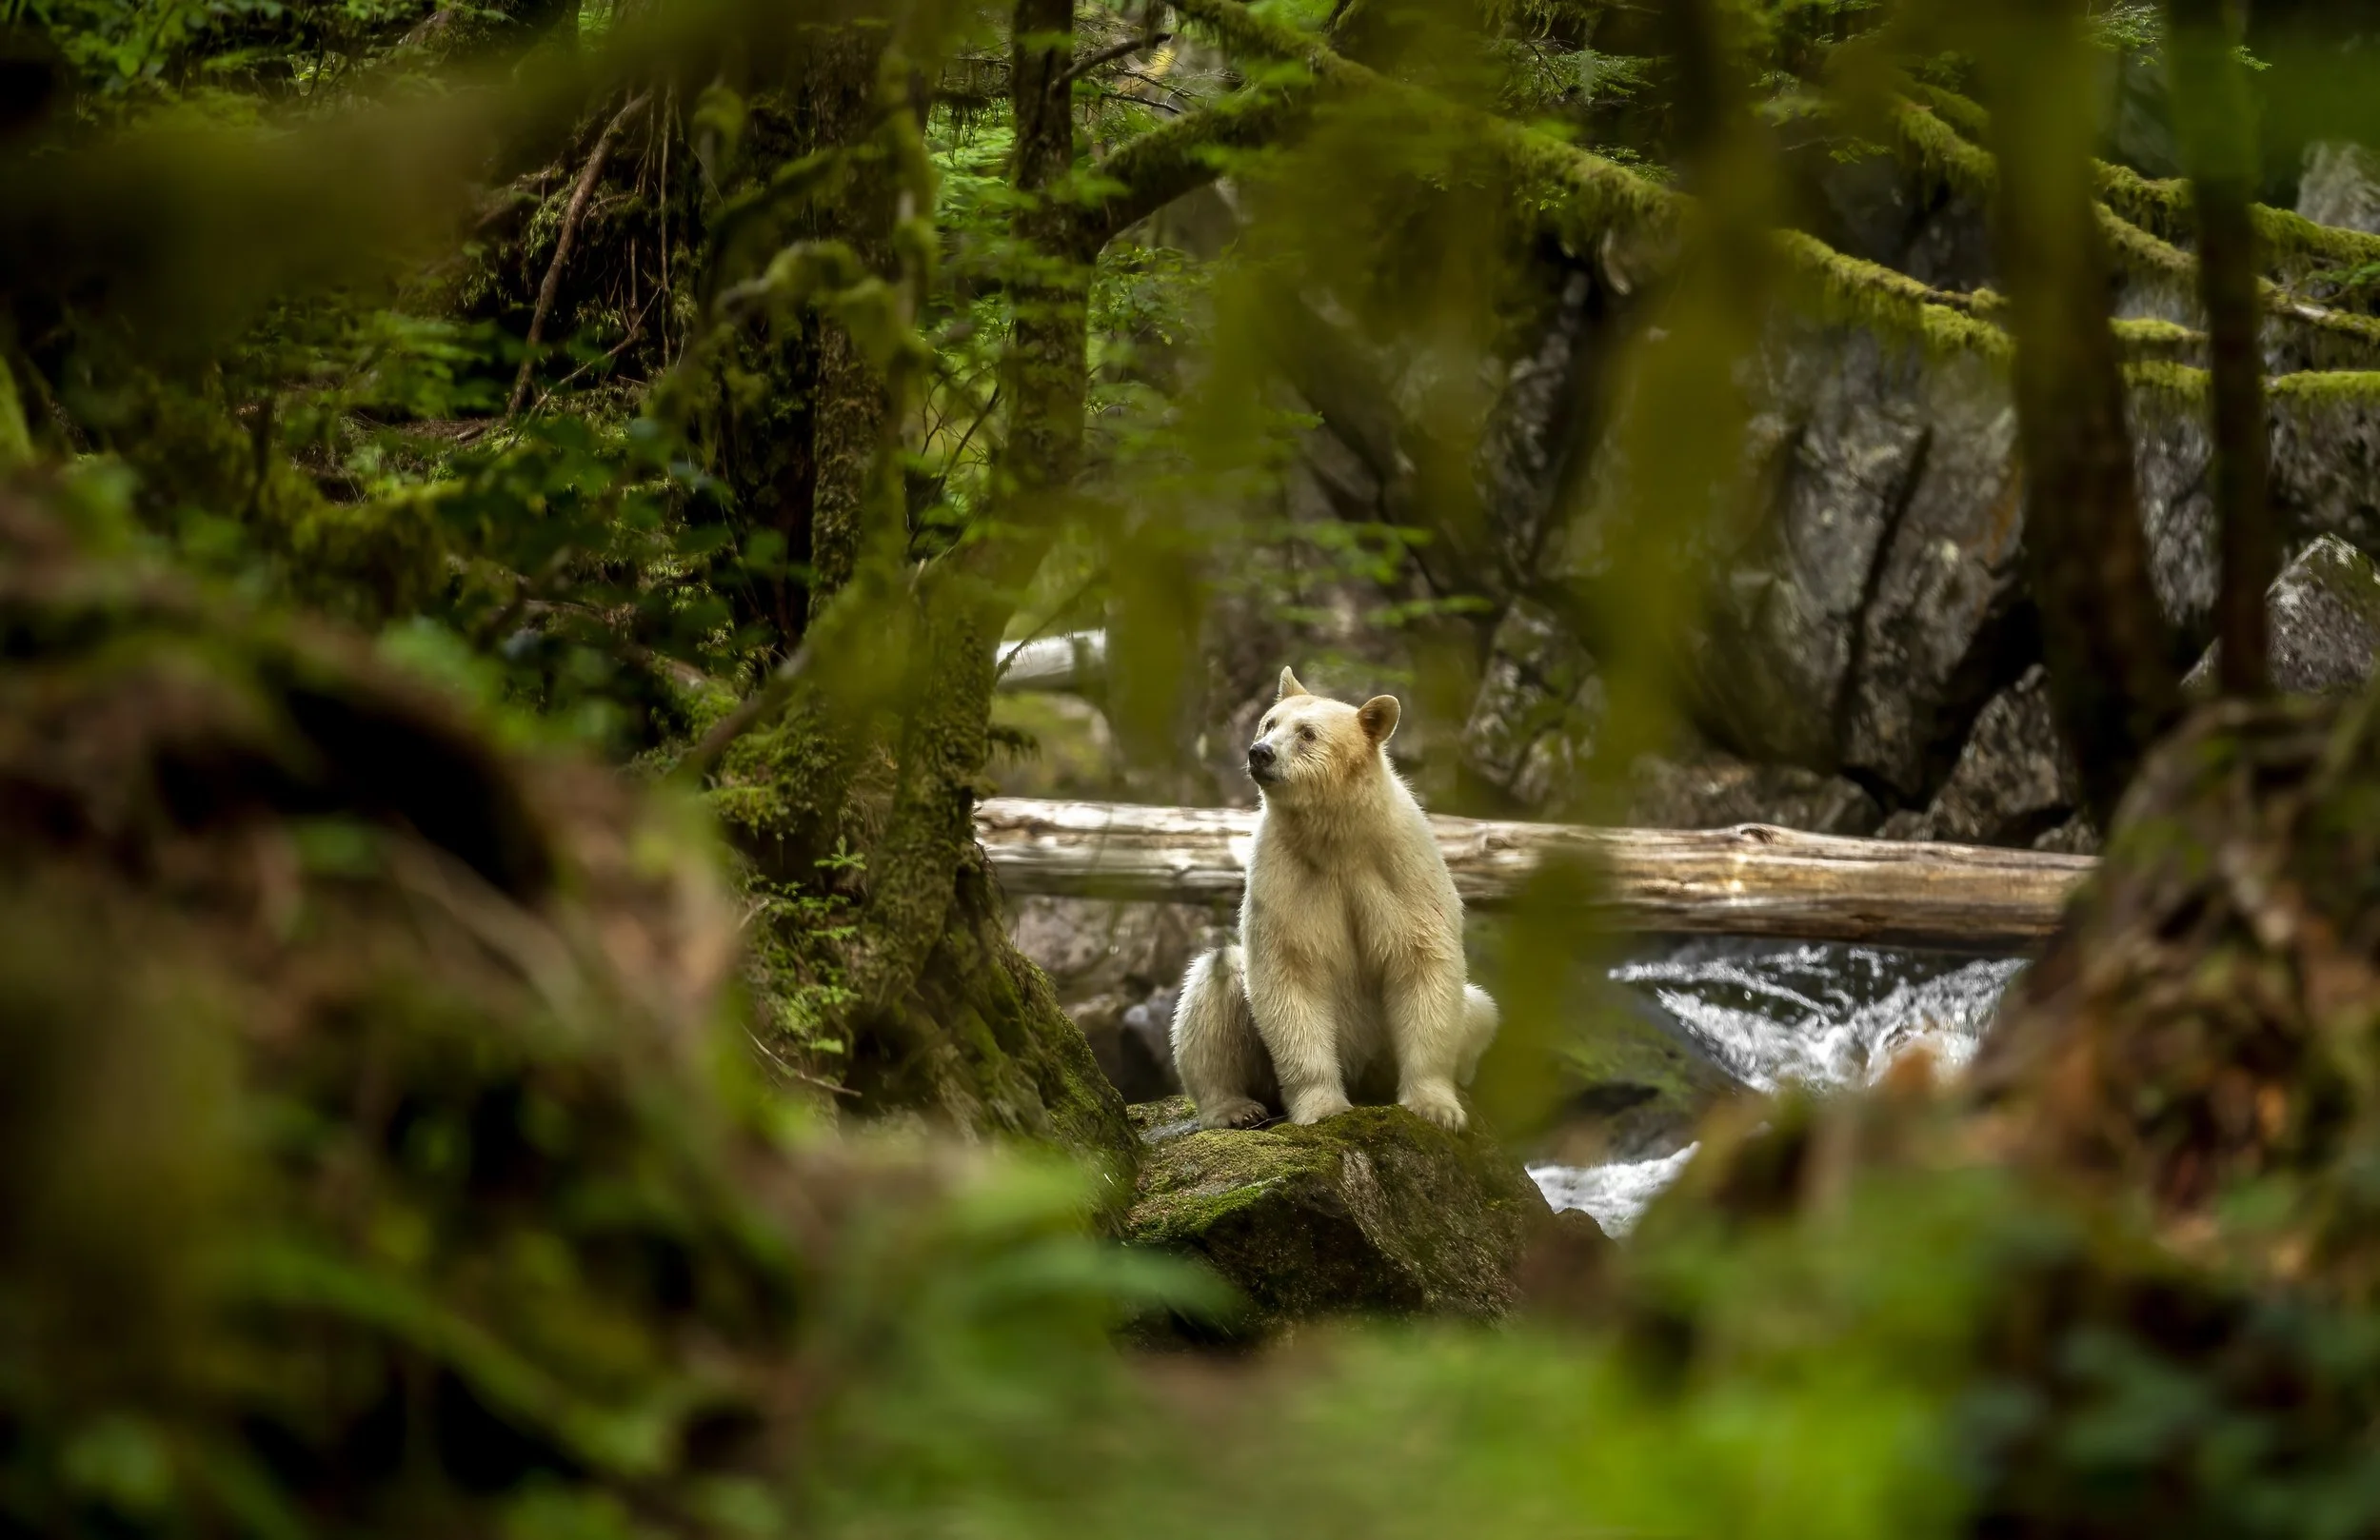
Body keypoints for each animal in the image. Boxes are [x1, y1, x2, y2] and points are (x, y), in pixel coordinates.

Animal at [1171, 667, 1499, 1131]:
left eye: (1307, 733)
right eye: (1269, 723)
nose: (1260, 753)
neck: (1338, 840)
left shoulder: (1401, 867)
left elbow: (1422, 962)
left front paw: (1436, 1107)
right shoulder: (1286, 872)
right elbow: (1289, 970)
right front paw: (1323, 1107)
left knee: (1480, 1009)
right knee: (1215, 983)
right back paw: (1234, 1108)